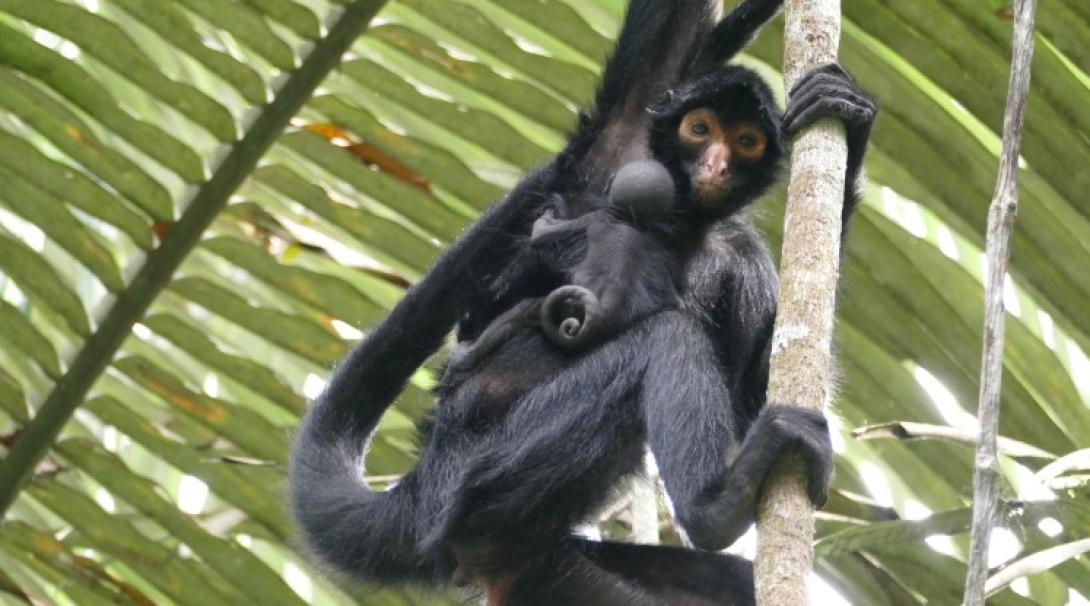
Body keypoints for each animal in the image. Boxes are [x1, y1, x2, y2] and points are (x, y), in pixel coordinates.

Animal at [289, 1, 876, 606]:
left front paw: (849, 128)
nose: (715, 165)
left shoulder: (741, 259)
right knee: (668, 335)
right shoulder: (616, 154)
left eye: (745, 142)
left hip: (546, 568)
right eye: (700, 130)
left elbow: (753, 392)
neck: (683, 226)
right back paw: (716, 510)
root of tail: (424, 487)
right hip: (484, 475)